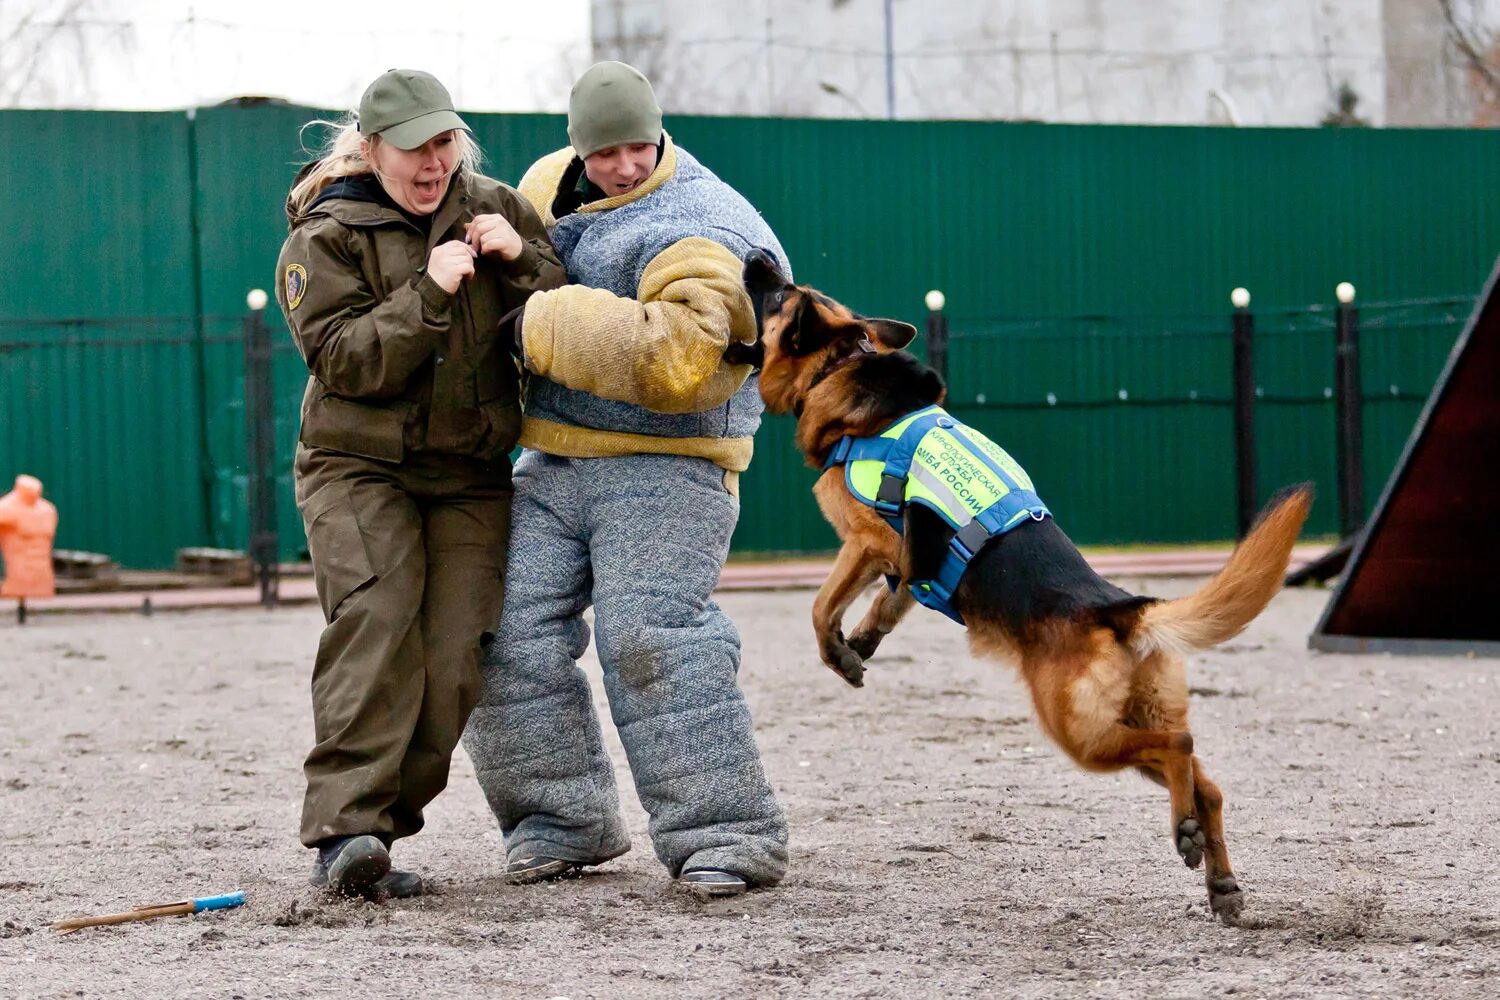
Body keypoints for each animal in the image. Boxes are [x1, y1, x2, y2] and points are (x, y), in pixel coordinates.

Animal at [738, 250, 1314, 923]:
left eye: (780, 294)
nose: (757, 257)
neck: (844, 364)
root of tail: (1119, 612)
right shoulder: (910, 567)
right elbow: (887, 601)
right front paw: (863, 644)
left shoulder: (868, 543)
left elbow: (820, 605)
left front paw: (837, 651)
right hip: (1118, 724)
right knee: (1209, 784)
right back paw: (1219, 878)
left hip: (1081, 735)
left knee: (1178, 744)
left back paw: (1185, 836)